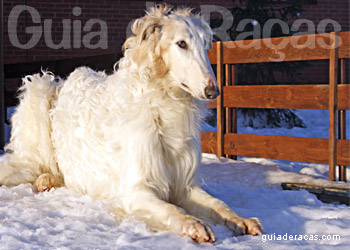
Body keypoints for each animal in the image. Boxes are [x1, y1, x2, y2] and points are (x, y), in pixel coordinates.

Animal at [0, 3, 262, 242]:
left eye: (204, 44)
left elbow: (218, 204)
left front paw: (242, 219)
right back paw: (43, 179)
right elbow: (172, 209)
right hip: (39, 96)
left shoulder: (184, 185)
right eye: (181, 44)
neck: (163, 108)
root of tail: (61, 82)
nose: (213, 91)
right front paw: (193, 224)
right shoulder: (134, 192)